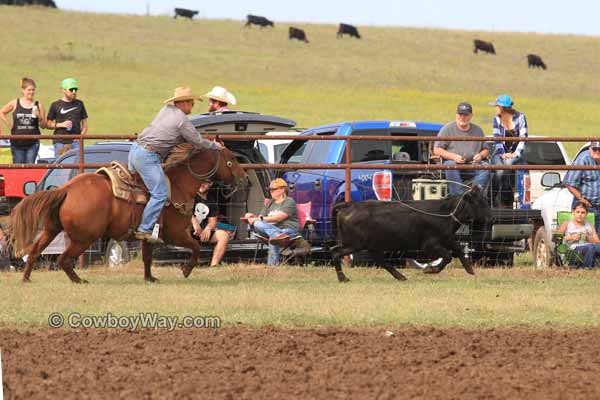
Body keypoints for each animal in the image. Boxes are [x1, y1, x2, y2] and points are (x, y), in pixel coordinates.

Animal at [10, 145, 247, 282]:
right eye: (231, 160)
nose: (244, 177)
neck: (179, 185)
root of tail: (67, 189)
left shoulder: (150, 236)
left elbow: (147, 257)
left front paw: (150, 278)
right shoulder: (175, 234)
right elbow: (196, 247)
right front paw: (187, 270)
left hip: (52, 229)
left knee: (34, 252)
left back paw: (27, 278)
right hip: (84, 238)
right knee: (63, 259)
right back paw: (79, 280)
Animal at [330, 187, 490, 282]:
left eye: (485, 201)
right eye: (477, 203)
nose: (492, 217)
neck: (444, 213)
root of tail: (348, 205)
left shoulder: (447, 238)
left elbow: (458, 249)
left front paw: (470, 269)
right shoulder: (429, 245)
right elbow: (448, 256)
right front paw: (431, 269)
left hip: (370, 245)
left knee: (380, 260)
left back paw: (400, 276)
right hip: (354, 244)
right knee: (335, 252)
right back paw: (342, 278)